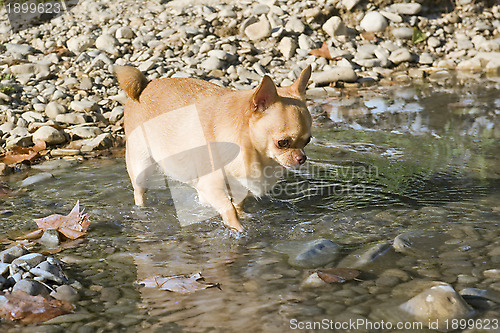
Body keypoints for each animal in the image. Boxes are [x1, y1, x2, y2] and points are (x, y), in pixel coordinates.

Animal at [114, 64, 310, 231]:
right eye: (282, 143)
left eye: (307, 141)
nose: (302, 158)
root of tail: (145, 85)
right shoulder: (210, 187)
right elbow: (229, 208)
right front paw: (238, 229)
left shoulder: (237, 188)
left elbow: (237, 206)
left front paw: (244, 217)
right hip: (141, 164)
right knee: (139, 191)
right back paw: (142, 210)